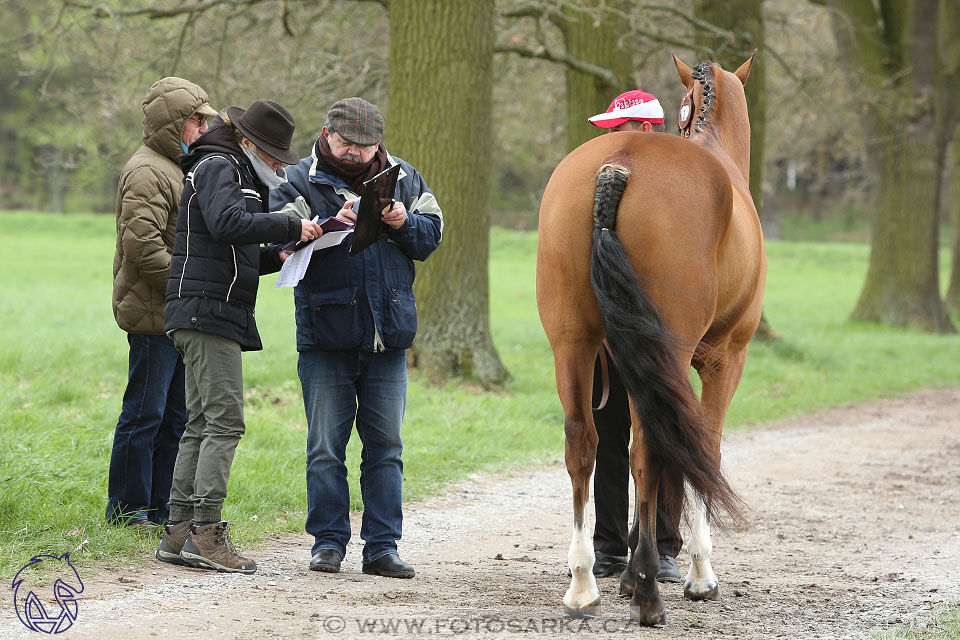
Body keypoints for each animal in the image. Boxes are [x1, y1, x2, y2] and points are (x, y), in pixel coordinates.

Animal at [532, 55, 764, 624]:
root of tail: (618, 162)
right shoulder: (726, 359)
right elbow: (706, 448)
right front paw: (699, 573)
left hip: (572, 343)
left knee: (583, 443)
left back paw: (584, 585)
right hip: (673, 351)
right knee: (650, 450)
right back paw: (648, 594)